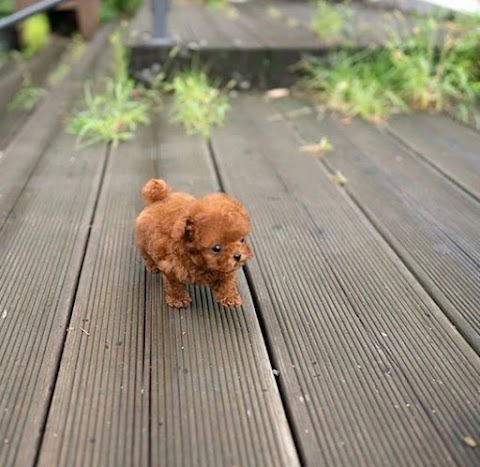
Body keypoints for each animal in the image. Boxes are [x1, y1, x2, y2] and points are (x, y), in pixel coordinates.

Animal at [135, 178, 253, 308]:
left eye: (242, 239)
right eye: (217, 248)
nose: (238, 256)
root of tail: (160, 197)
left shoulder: (224, 269)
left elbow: (227, 282)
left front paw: (230, 297)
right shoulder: (171, 268)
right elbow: (174, 285)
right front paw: (178, 299)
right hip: (143, 242)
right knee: (146, 255)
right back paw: (153, 266)